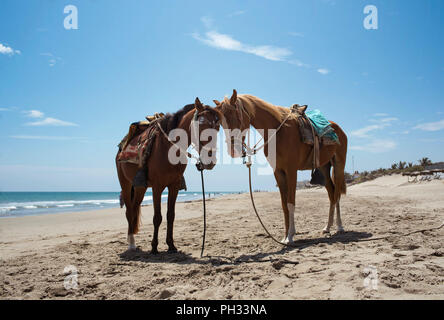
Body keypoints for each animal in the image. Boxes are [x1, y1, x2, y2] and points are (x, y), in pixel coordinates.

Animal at [116, 99, 222, 254]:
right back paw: (131, 244)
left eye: (218, 127)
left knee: (135, 209)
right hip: (126, 184)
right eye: (201, 124)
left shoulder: (174, 186)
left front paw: (171, 245)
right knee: (129, 212)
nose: (210, 160)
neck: (168, 148)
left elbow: (170, 216)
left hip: (140, 187)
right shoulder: (157, 187)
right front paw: (154, 247)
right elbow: (157, 217)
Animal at [214, 90, 346, 245]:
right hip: (324, 168)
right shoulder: (278, 172)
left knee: (336, 195)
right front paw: (285, 237)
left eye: (235, 116)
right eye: (221, 122)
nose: (233, 151)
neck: (279, 133)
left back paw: (339, 226)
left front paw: (290, 236)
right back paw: (327, 227)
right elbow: (284, 205)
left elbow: (290, 203)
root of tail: (338, 128)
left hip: (338, 166)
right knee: (332, 194)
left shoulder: (291, 171)